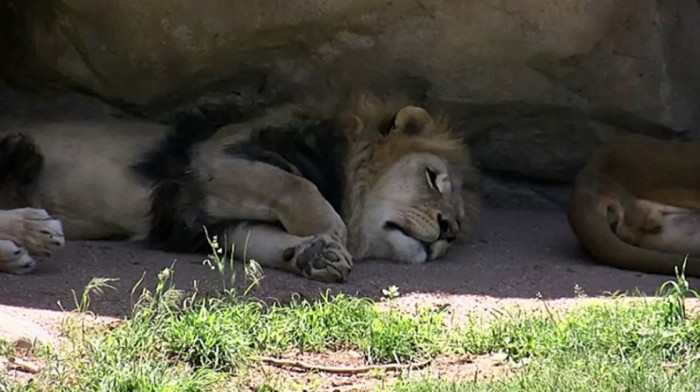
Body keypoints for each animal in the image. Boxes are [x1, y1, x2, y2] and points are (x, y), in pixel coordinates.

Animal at [0, 95, 478, 282]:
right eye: (432, 177)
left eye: (460, 223)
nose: (448, 232)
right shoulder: (212, 163)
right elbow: (295, 186)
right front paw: (330, 234)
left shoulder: (205, 221)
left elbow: (258, 240)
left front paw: (314, 255)